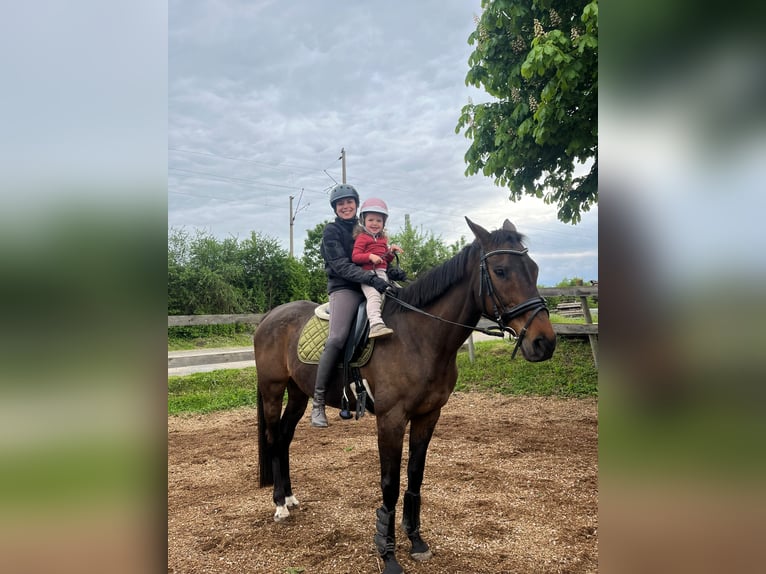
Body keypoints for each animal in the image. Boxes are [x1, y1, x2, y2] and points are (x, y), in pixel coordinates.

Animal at [255, 217, 556, 574]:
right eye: (500, 271)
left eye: (534, 269)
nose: (544, 342)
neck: (418, 337)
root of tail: (269, 317)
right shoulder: (391, 420)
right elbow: (390, 484)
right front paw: (387, 554)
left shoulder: (428, 415)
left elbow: (415, 477)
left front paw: (416, 540)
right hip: (273, 391)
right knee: (274, 438)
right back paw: (279, 505)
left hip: (299, 393)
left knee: (284, 439)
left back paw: (289, 497)